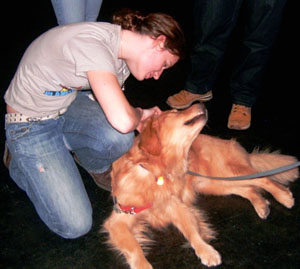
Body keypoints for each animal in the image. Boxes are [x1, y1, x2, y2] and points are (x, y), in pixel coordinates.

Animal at [102, 101, 298, 266]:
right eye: (173, 112)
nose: (201, 103)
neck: (156, 171)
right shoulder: (118, 219)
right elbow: (134, 249)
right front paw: (142, 265)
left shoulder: (177, 206)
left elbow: (192, 231)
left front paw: (206, 251)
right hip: (215, 184)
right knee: (249, 188)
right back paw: (261, 205)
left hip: (225, 173)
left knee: (263, 179)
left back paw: (284, 196)